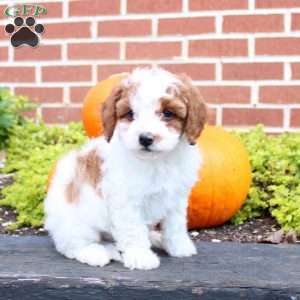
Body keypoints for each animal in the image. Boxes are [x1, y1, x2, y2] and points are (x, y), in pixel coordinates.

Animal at [44, 67, 207, 270]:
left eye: (168, 113)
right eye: (130, 113)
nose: (145, 138)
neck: (156, 161)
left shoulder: (176, 199)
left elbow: (175, 225)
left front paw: (179, 247)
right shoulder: (126, 201)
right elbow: (134, 230)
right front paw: (140, 257)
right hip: (75, 222)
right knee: (71, 245)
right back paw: (95, 253)